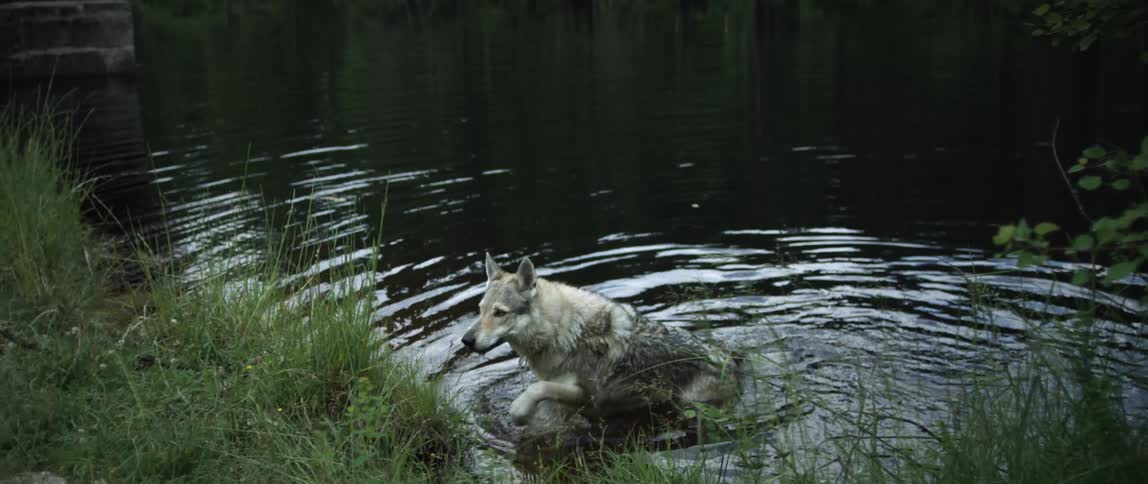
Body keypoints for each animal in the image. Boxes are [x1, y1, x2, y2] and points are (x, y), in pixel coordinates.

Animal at [461, 253, 740, 425]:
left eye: (500, 313)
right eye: (480, 309)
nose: (466, 340)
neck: (561, 332)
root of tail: (733, 363)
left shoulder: (586, 394)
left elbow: (533, 392)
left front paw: (520, 415)